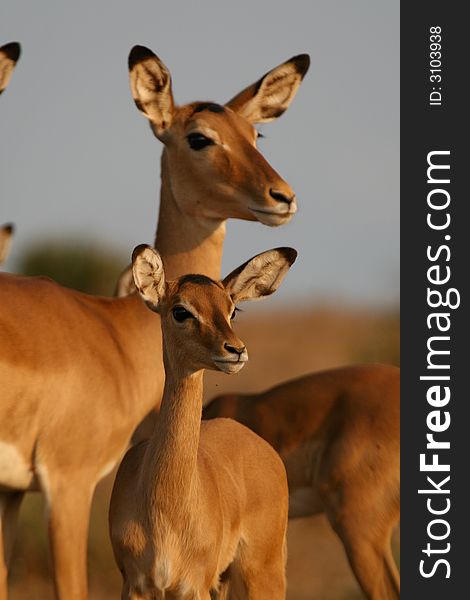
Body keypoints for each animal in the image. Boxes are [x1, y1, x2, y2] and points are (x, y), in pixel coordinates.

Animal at [109, 245, 298, 600]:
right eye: (180, 311)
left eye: (232, 310)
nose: (236, 351)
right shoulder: (136, 585)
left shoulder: (192, 587)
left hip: (261, 573)